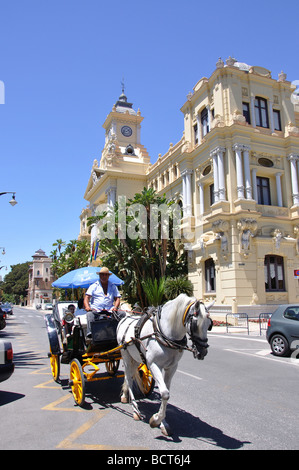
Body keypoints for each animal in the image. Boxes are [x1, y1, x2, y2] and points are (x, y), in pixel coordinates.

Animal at [116, 294, 213, 436]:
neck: (165, 334)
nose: (202, 352)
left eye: (209, 324)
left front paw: (163, 423)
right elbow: (165, 393)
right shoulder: (154, 365)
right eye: (195, 324)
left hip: (136, 357)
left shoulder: (171, 367)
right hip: (125, 354)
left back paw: (125, 395)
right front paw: (155, 420)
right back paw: (135, 410)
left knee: (130, 376)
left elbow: (166, 393)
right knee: (128, 377)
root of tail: (126, 318)